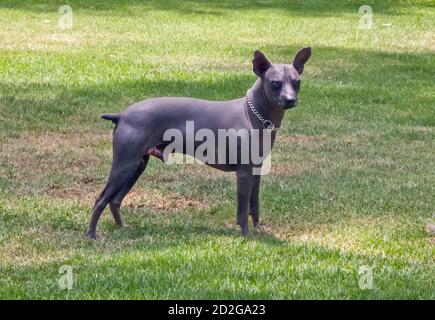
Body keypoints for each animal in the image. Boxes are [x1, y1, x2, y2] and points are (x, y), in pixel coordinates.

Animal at [86, 47, 310, 238]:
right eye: (275, 83)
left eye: (296, 82)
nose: (290, 100)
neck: (252, 114)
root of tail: (122, 115)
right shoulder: (244, 173)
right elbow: (242, 208)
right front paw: (247, 234)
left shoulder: (256, 171)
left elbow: (254, 205)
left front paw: (258, 229)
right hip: (124, 165)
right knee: (101, 199)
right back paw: (91, 235)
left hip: (137, 166)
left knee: (115, 200)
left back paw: (122, 228)